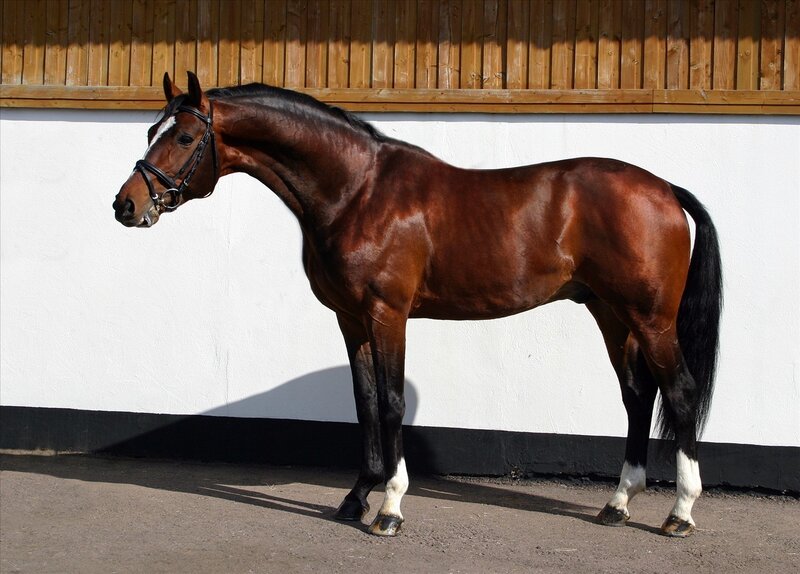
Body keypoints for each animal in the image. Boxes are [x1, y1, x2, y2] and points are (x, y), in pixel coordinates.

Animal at [114, 72, 722, 538]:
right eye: (150, 131)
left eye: (185, 136)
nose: (126, 205)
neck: (358, 191)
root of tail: (664, 189)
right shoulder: (350, 319)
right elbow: (363, 404)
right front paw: (356, 497)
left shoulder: (387, 315)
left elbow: (390, 403)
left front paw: (389, 508)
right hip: (610, 314)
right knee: (638, 396)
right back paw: (617, 504)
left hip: (651, 319)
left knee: (680, 393)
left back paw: (680, 513)